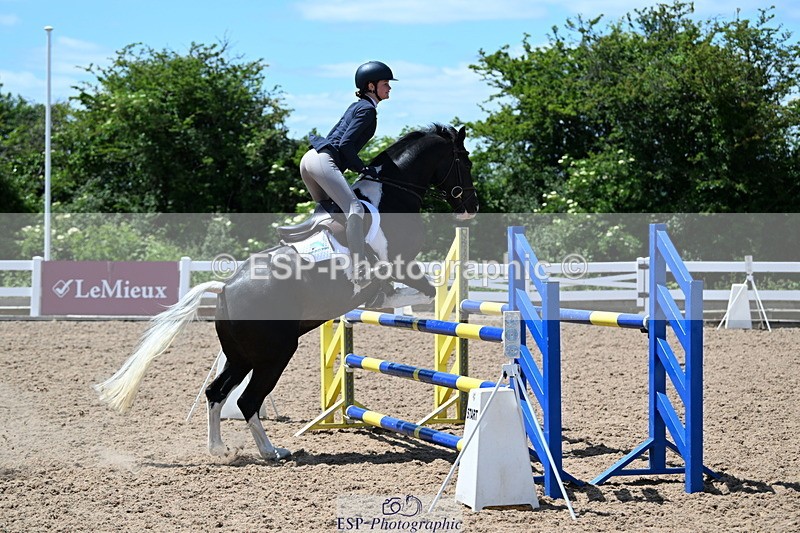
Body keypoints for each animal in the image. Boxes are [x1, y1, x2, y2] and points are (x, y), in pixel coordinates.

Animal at [94, 124, 479, 461]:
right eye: (465, 161)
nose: (471, 207)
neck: (392, 194)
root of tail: (226, 287)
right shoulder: (399, 264)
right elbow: (426, 290)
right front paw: (396, 300)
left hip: (241, 356)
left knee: (217, 392)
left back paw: (220, 450)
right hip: (274, 354)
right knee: (247, 401)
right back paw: (272, 452)